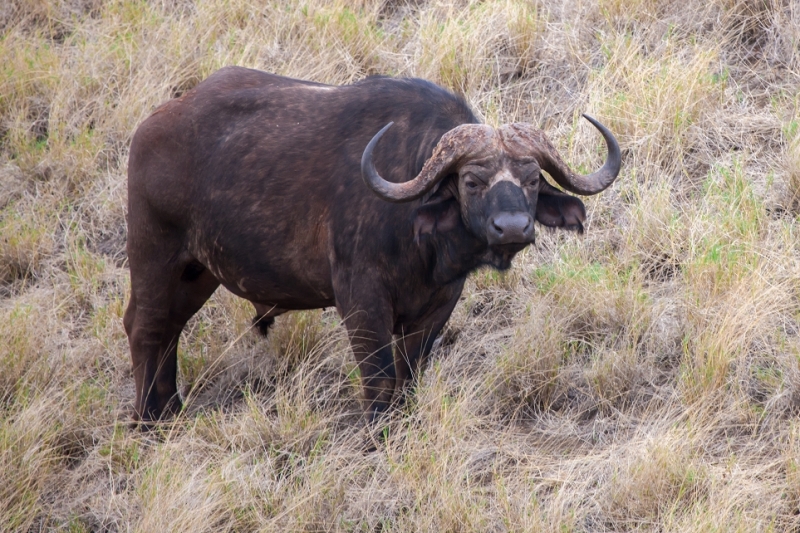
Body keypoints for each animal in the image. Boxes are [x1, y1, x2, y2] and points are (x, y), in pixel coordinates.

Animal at [123, 66, 620, 424]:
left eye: (532, 180)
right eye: (472, 182)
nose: (513, 228)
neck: (419, 243)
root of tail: (151, 127)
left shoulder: (438, 305)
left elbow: (408, 375)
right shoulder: (361, 301)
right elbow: (379, 377)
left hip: (197, 272)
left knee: (169, 330)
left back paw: (171, 411)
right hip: (154, 254)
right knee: (145, 327)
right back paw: (149, 421)